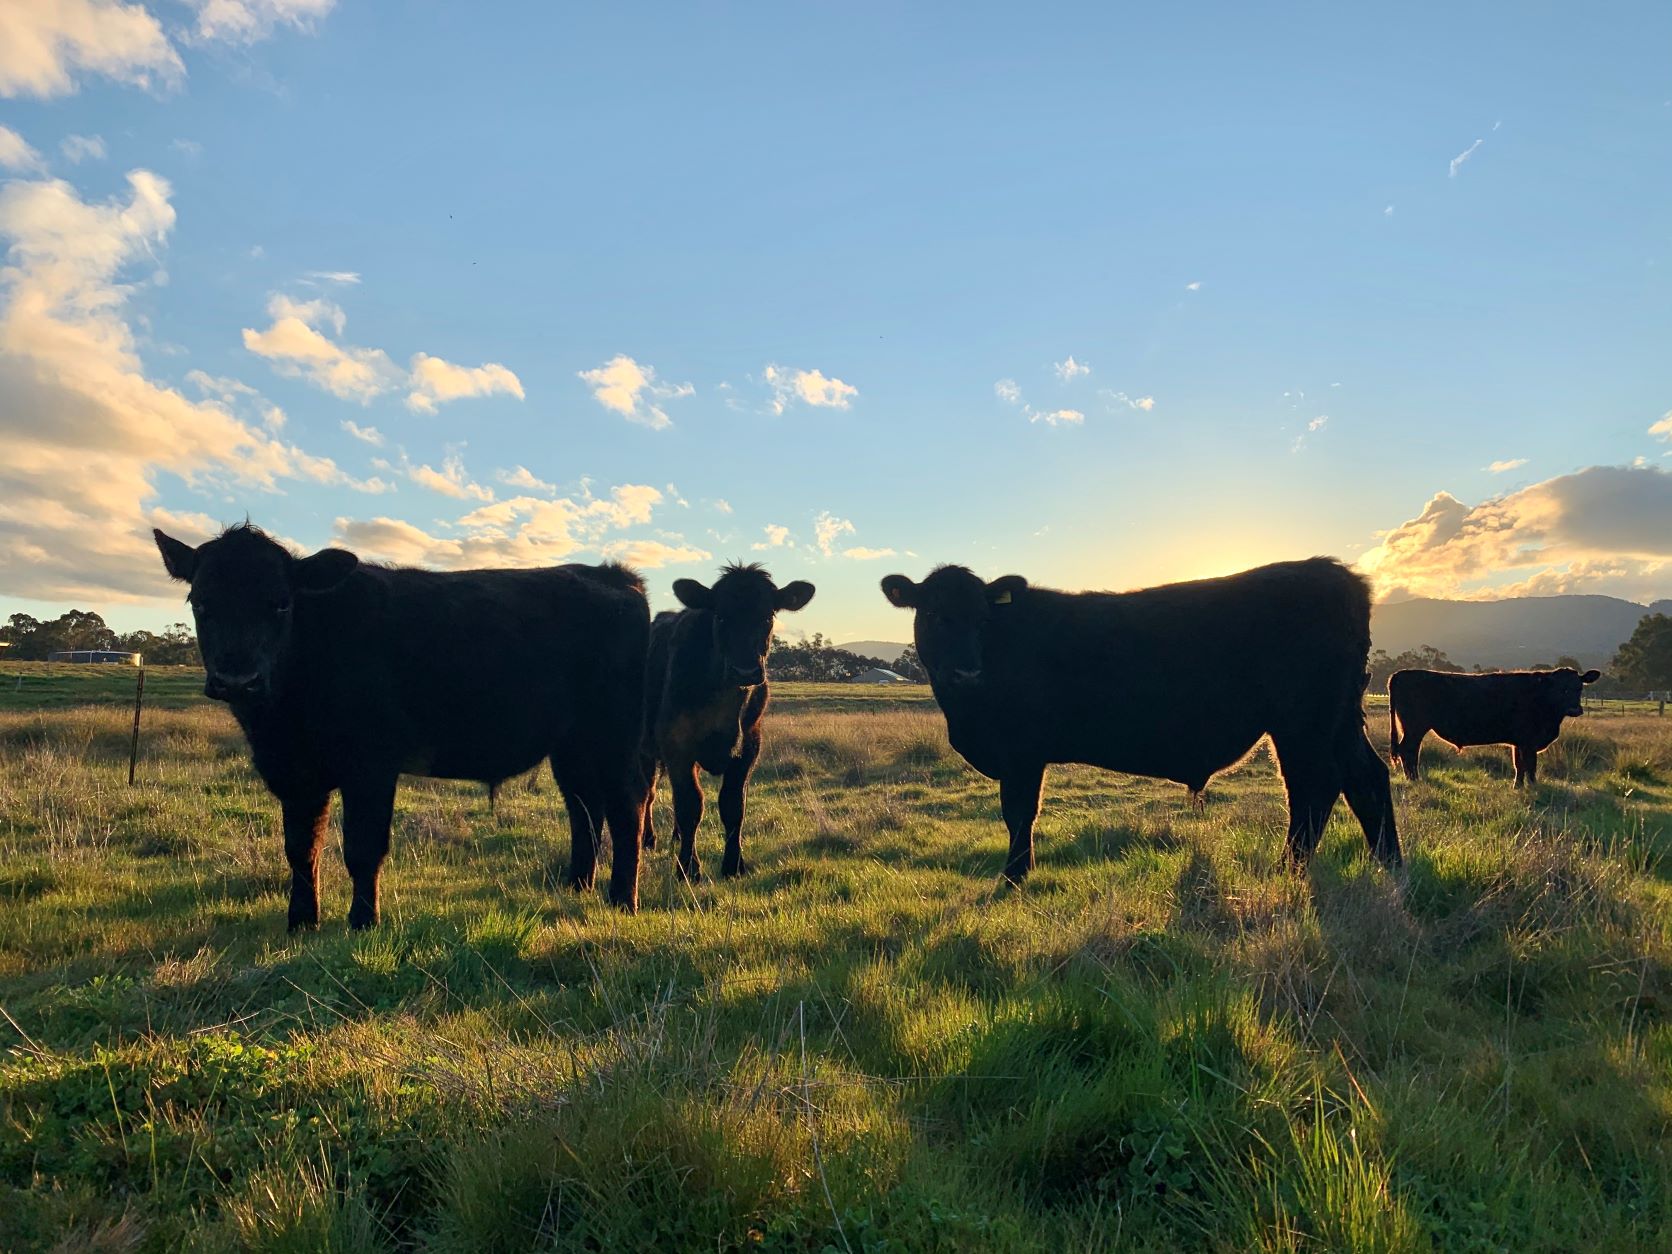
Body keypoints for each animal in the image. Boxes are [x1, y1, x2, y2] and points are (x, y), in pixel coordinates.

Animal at [155, 525, 652, 929]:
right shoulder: (296, 774)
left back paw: (622, 901)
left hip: (615, 738)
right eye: (201, 602)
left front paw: (362, 922)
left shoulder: (371, 766)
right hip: (573, 747)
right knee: (584, 809)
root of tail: (614, 575)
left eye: (280, 603)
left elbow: (362, 848)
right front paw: (301, 922)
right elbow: (301, 849)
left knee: (626, 809)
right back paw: (575, 886)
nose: (237, 678)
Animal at [638, 565, 815, 876]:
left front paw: (733, 864)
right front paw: (688, 868)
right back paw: (649, 839)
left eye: (768, 616)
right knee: (649, 793)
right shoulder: (677, 745)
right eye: (720, 616)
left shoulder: (749, 747)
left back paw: (676, 837)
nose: (745, 670)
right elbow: (691, 805)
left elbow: (733, 806)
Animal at [882, 558, 1404, 882]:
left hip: (1303, 723)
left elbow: (1019, 813)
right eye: (934, 613)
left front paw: (1012, 878)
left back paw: (1289, 871)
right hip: (1338, 720)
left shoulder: (1022, 753)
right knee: (1366, 779)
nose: (966, 669)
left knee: (1314, 788)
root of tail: (1337, 575)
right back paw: (1391, 866)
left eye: (983, 619)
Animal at [1384, 668, 1605, 785]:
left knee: (1410, 751)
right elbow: (1530, 765)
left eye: (1579, 687)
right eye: (1561, 688)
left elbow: (1519, 764)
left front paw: (1518, 787)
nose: (1575, 709)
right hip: (1414, 727)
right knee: (1408, 750)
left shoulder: (1519, 742)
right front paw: (1533, 786)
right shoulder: (1529, 741)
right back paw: (1414, 779)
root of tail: (1400, 674)